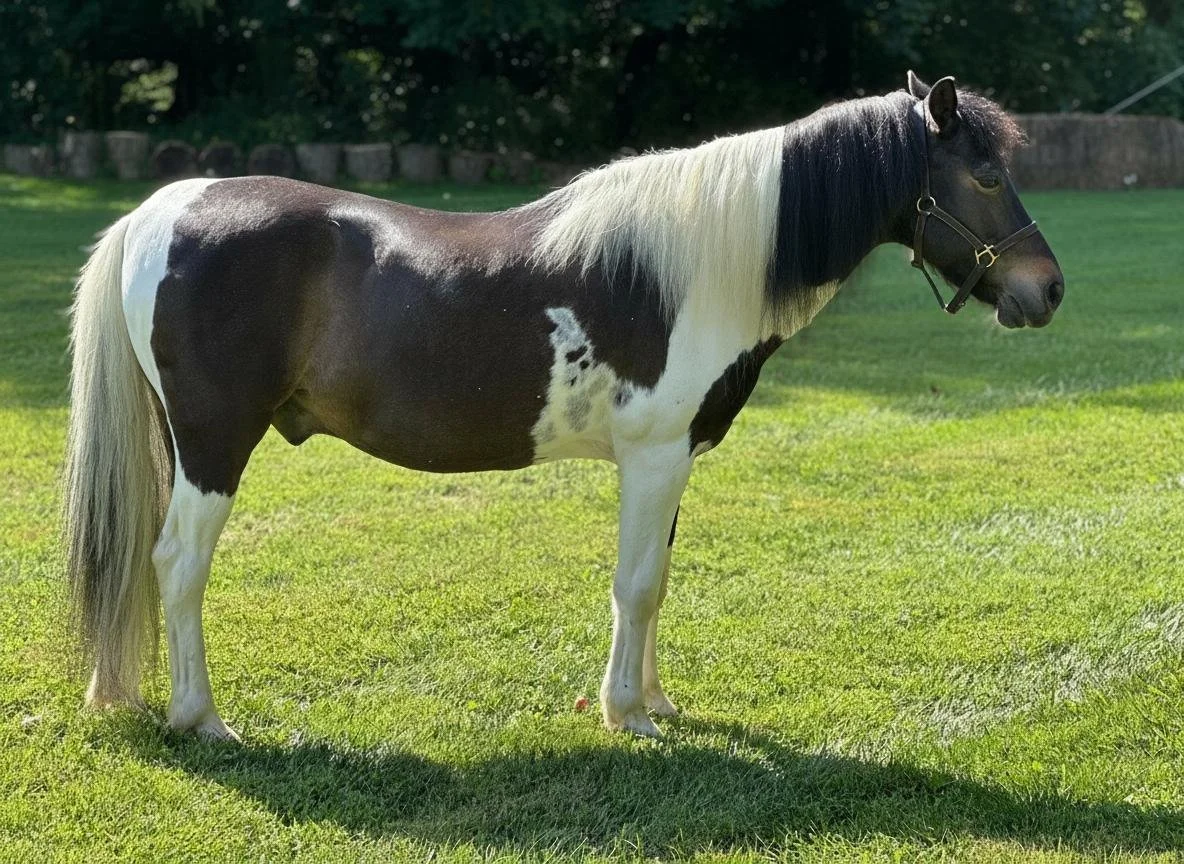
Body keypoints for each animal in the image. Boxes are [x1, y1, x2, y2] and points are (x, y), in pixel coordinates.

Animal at [64, 72, 1064, 740]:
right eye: (982, 175)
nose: (1045, 290)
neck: (701, 264)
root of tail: (162, 209)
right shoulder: (654, 457)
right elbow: (638, 583)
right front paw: (628, 715)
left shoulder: (673, 461)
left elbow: (658, 583)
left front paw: (656, 701)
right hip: (213, 445)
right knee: (178, 565)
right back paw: (201, 718)